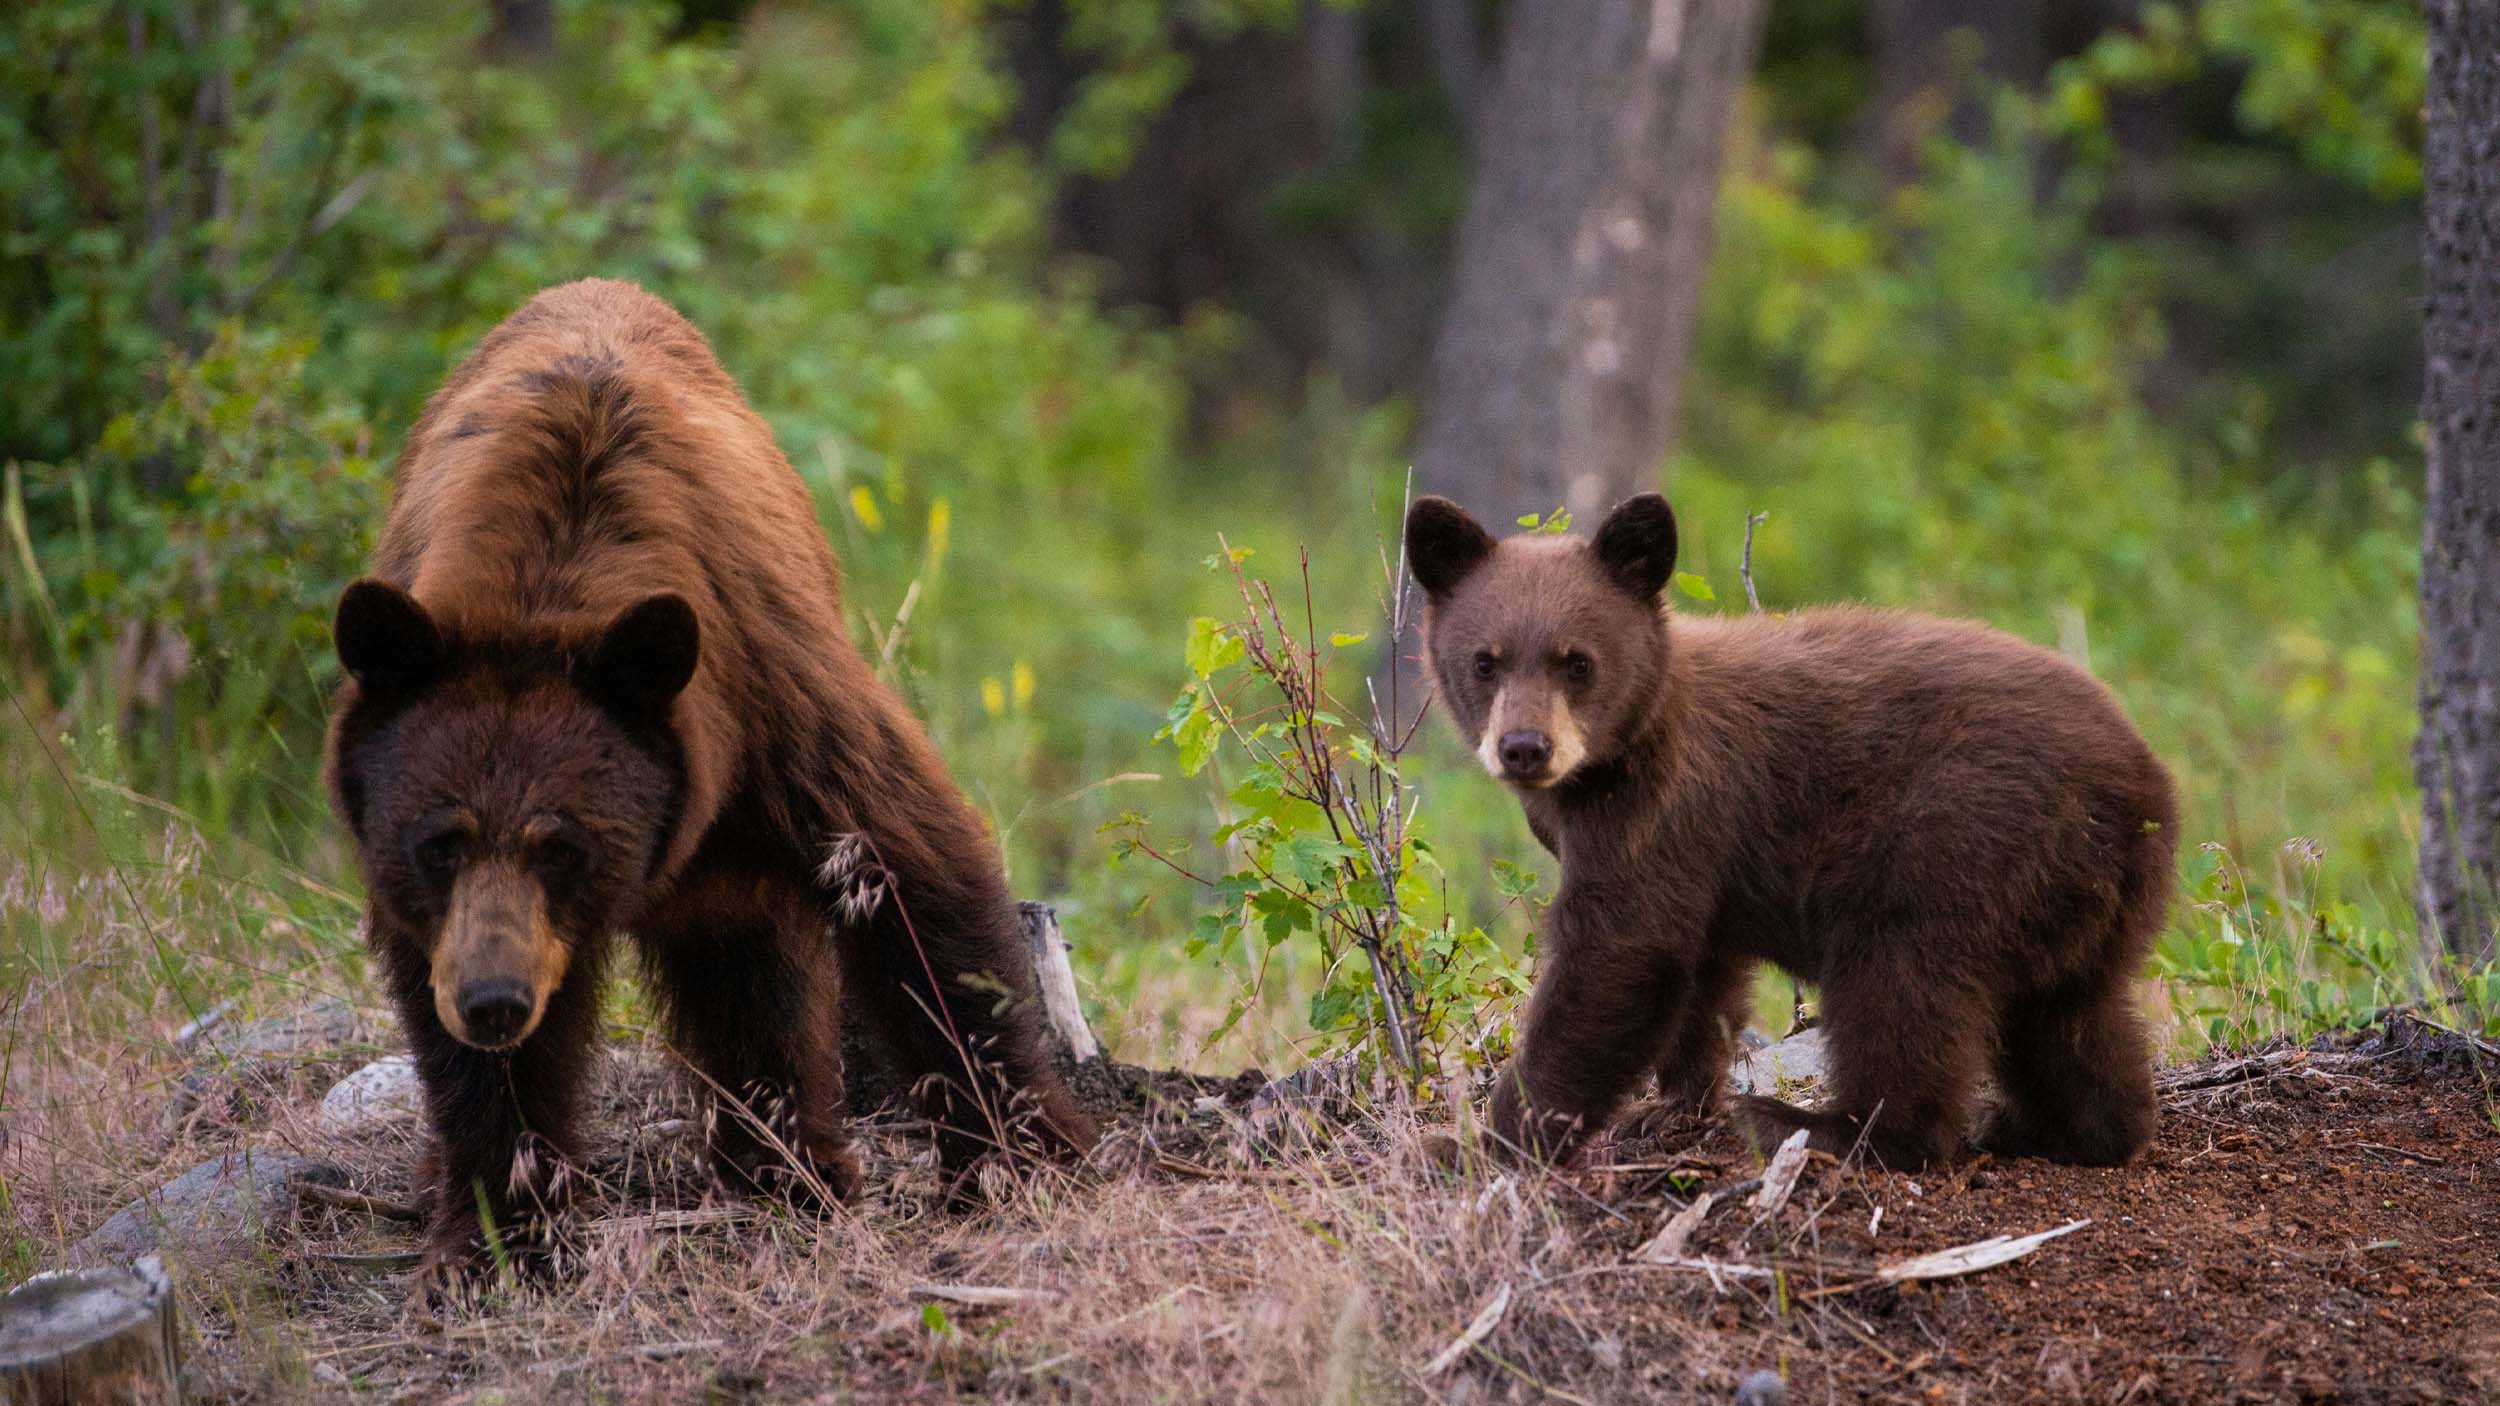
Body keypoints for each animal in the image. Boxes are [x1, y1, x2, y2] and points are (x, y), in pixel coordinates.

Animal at [325, 278, 1097, 1285]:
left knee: (751, 979)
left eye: (563, 844)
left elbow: (911, 875)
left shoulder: (772, 697)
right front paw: (499, 1232)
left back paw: (789, 1170)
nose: (495, 1002)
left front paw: (1023, 1158)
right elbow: (467, 1052)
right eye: (438, 843)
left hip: (734, 857)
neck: (546, 582)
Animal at [1404, 492, 2177, 1170]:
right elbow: (1699, 971)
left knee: (1901, 982)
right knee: (2070, 1017)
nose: (1524, 748)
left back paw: (1825, 1127)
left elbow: (1617, 958)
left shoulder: (1663, 809)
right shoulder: (1696, 855)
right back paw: (2060, 1128)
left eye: (1577, 661)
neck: (1620, 751)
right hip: (2079, 898)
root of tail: (2142, 789)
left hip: (1957, 839)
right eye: (1485, 660)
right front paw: (1672, 1106)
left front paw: (1483, 1144)